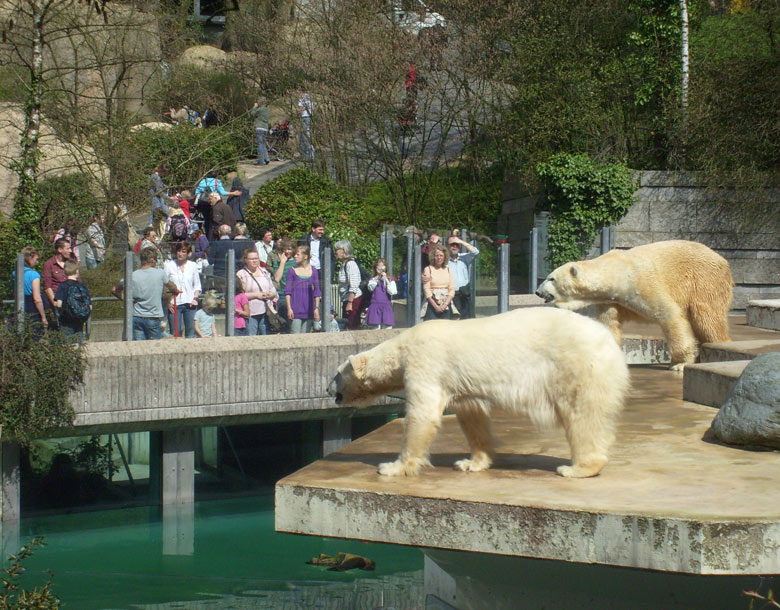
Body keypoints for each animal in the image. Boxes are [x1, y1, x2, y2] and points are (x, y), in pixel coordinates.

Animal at [326, 306, 632, 478]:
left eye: (337, 373)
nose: (329, 390)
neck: (401, 347)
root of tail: (609, 340)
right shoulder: (462, 385)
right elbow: (472, 415)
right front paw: (471, 462)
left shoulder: (426, 363)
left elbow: (423, 415)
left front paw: (392, 467)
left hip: (577, 367)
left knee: (583, 417)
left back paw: (577, 468)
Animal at [536, 240, 732, 368]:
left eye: (551, 278)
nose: (538, 292)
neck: (618, 272)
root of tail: (723, 260)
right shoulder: (611, 299)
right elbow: (609, 323)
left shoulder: (645, 283)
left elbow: (670, 314)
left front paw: (680, 363)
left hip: (705, 280)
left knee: (707, 318)